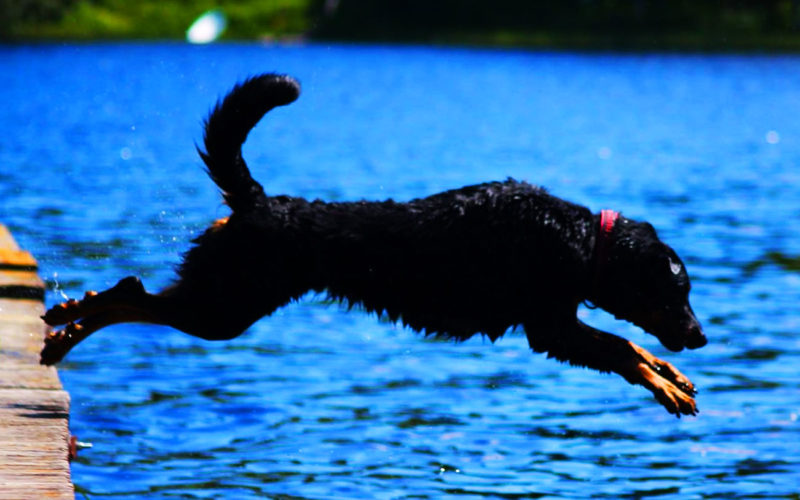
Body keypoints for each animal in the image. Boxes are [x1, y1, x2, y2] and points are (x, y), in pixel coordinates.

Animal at [42, 74, 708, 416]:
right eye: (677, 290)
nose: (701, 336)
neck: (583, 243)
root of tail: (257, 202)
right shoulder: (551, 328)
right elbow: (621, 348)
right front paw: (666, 386)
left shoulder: (560, 327)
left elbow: (630, 347)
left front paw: (671, 374)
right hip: (224, 309)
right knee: (131, 295)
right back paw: (71, 323)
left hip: (220, 300)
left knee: (133, 294)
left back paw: (67, 324)